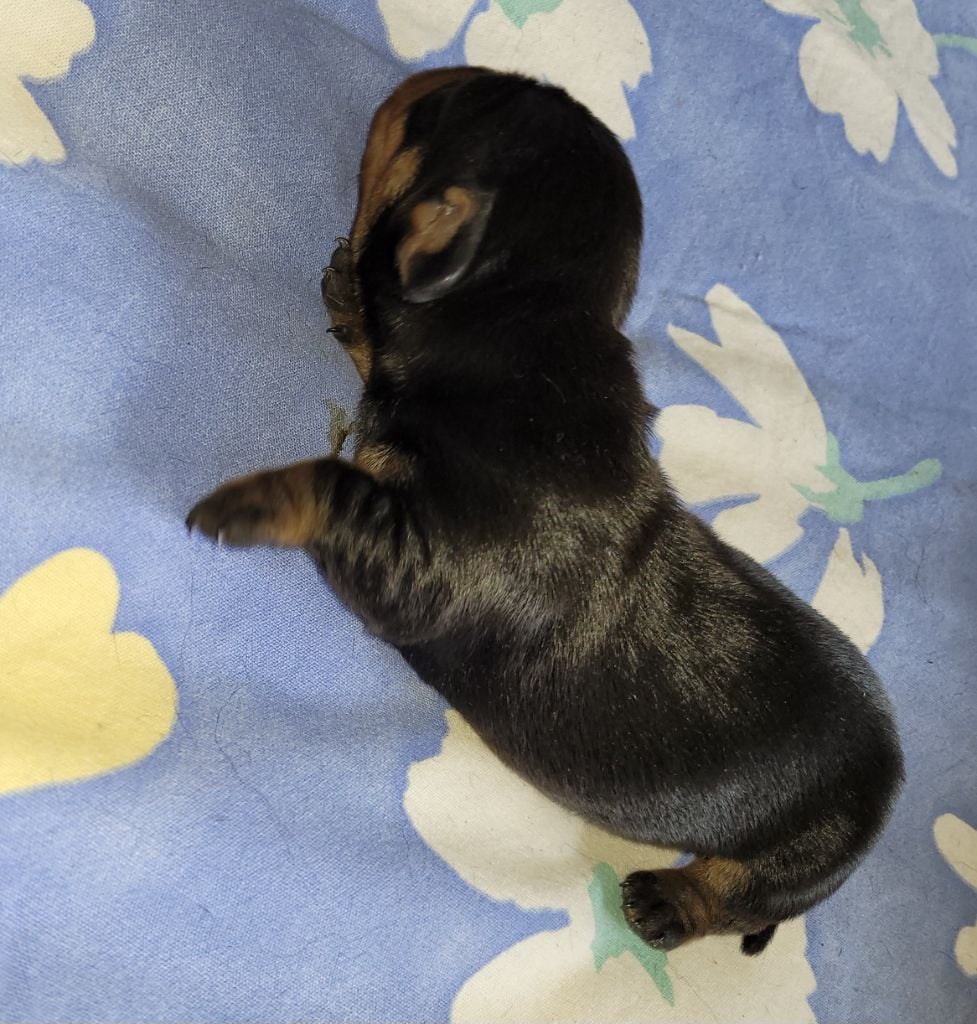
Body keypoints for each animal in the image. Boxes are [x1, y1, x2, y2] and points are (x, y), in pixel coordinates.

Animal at [187, 67, 904, 956]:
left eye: (430, 112)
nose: (412, 78)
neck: (530, 322)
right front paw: (349, 299)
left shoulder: (418, 566)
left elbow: (332, 482)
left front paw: (244, 502)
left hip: (800, 854)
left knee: (734, 896)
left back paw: (665, 904)